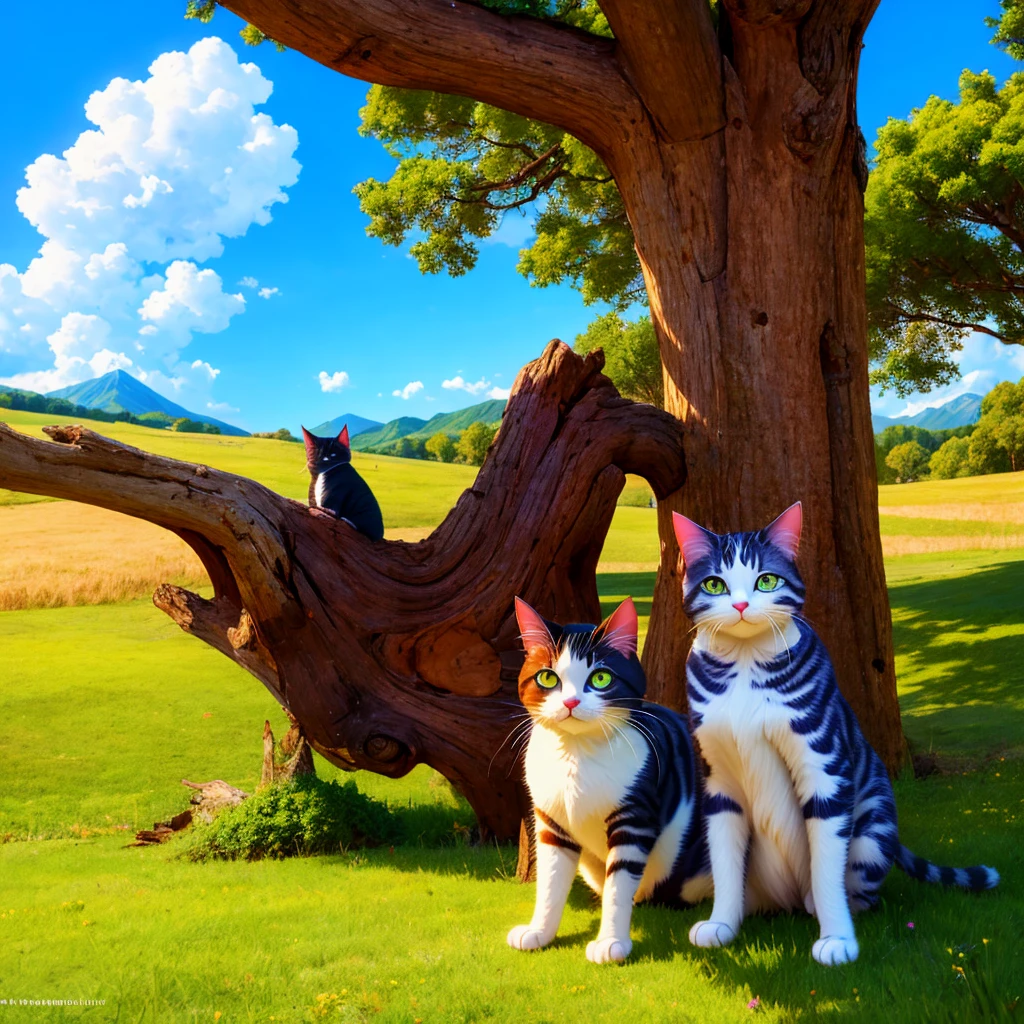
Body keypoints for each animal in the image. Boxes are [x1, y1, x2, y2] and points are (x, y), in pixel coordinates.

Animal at [505, 598, 712, 962]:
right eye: (547, 677)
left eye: (600, 678)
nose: (571, 702)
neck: (575, 756)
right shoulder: (552, 823)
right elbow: (550, 883)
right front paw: (539, 932)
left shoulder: (634, 818)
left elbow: (618, 885)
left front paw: (610, 943)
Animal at [675, 503, 995, 966]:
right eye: (715, 584)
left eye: (766, 580)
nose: (740, 604)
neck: (746, 662)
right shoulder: (718, 779)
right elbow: (726, 863)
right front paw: (723, 924)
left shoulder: (824, 768)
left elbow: (826, 867)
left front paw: (837, 938)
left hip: (871, 834)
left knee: (858, 888)